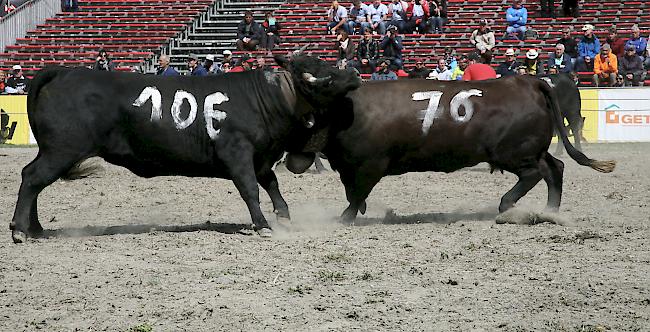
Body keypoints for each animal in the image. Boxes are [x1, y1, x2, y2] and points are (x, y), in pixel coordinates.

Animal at [11, 56, 360, 244]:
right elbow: (251, 190)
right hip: (62, 150)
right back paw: (19, 230)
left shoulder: (260, 157)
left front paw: (284, 215)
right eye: (324, 74)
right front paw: (262, 225)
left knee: (34, 179)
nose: (356, 74)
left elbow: (272, 184)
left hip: (55, 152)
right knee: (32, 178)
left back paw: (35, 228)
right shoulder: (237, 153)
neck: (267, 97)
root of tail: (65, 70)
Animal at [306, 75, 616, 220]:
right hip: (532, 149)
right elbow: (353, 193)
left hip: (513, 153)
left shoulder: (371, 165)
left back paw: (507, 204)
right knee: (555, 168)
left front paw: (346, 217)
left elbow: (357, 194)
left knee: (535, 174)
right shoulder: (350, 167)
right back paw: (549, 211)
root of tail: (529, 81)